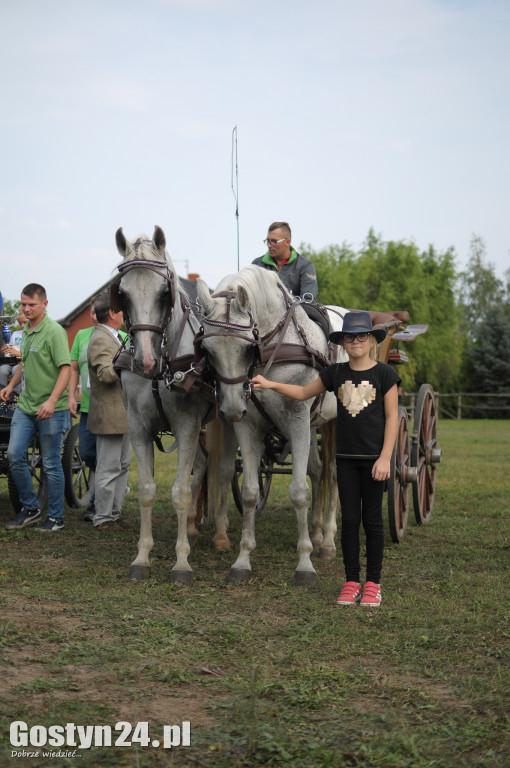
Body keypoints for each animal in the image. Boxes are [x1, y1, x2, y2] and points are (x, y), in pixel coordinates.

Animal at [114, 225, 230, 584]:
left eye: (164, 292)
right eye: (122, 294)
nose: (146, 361)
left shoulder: (188, 426)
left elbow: (179, 493)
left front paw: (181, 563)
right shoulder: (138, 428)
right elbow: (148, 490)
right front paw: (142, 557)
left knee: (222, 471)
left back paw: (221, 534)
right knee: (203, 467)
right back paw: (192, 526)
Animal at [195, 268, 346, 584]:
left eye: (247, 348)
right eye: (207, 349)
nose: (231, 408)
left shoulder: (298, 420)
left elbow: (299, 492)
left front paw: (305, 564)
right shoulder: (249, 426)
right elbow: (250, 492)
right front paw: (242, 560)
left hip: (336, 422)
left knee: (334, 475)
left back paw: (326, 542)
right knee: (317, 470)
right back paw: (316, 532)